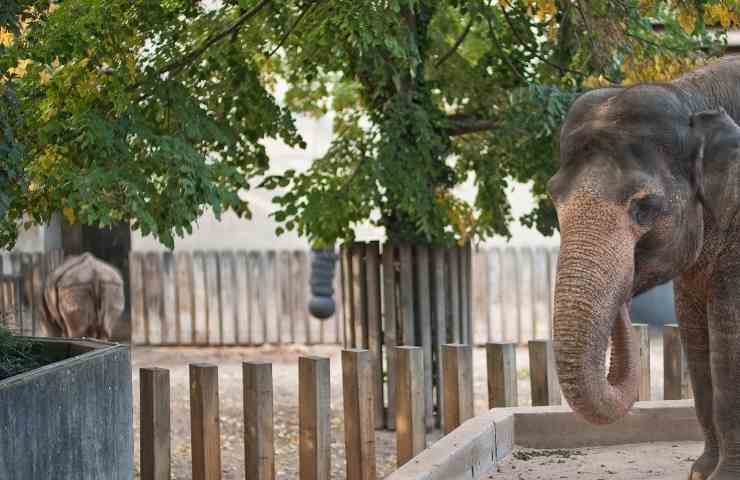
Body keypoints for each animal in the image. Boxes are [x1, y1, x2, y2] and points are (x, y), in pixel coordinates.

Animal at [548, 55, 740, 480]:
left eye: (645, 207)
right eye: (553, 197)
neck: (691, 96)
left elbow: (728, 345)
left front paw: (725, 478)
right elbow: (695, 337)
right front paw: (700, 473)